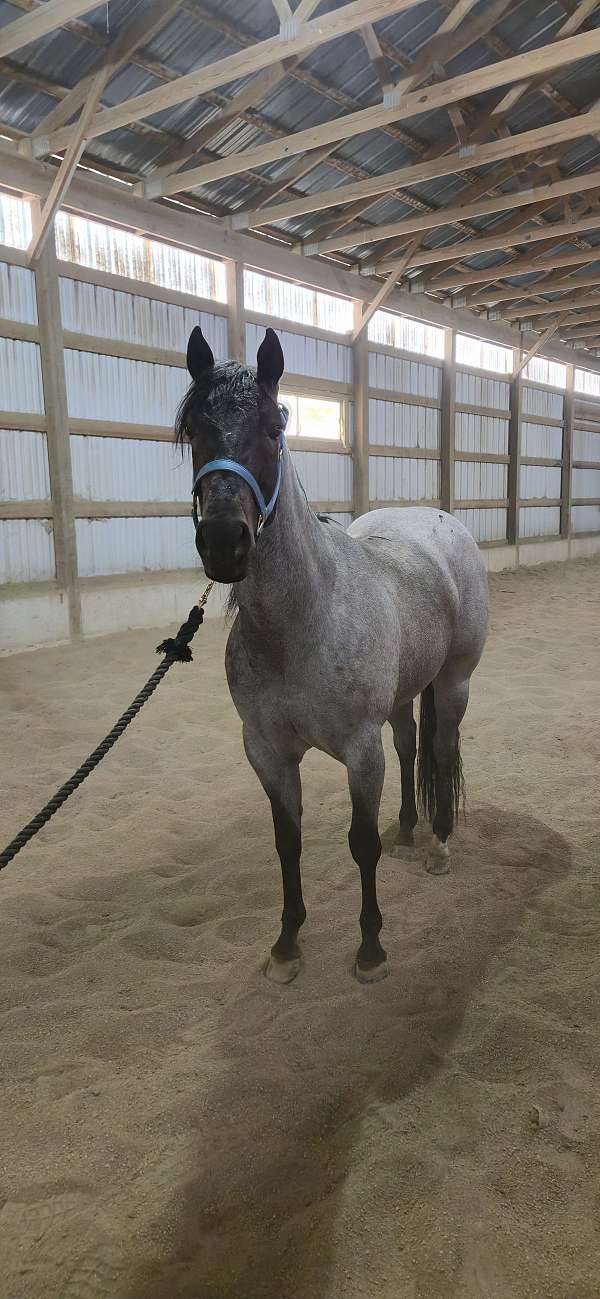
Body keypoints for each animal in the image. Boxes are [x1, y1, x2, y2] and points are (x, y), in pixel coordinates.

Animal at [176, 325, 488, 985]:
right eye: (193, 428)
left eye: (274, 426)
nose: (224, 542)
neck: (299, 625)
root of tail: (438, 523)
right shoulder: (267, 752)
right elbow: (287, 842)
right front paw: (287, 944)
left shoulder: (359, 752)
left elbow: (359, 844)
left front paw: (371, 950)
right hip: (402, 696)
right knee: (409, 745)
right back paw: (407, 830)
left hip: (454, 682)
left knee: (441, 749)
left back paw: (439, 844)